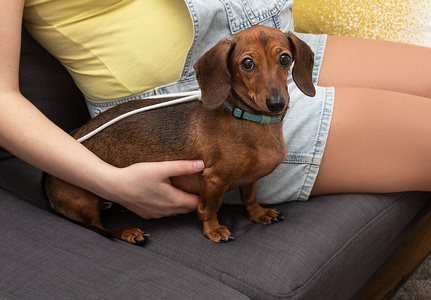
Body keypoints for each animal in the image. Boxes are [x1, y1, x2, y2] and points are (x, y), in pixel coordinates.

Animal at [44, 25, 316, 245]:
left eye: (285, 58)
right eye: (247, 63)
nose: (276, 104)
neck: (249, 120)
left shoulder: (251, 178)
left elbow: (249, 198)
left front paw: (259, 214)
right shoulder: (214, 179)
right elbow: (210, 208)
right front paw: (214, 230)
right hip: (83, 201)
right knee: (99, 227)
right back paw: (129, 233)